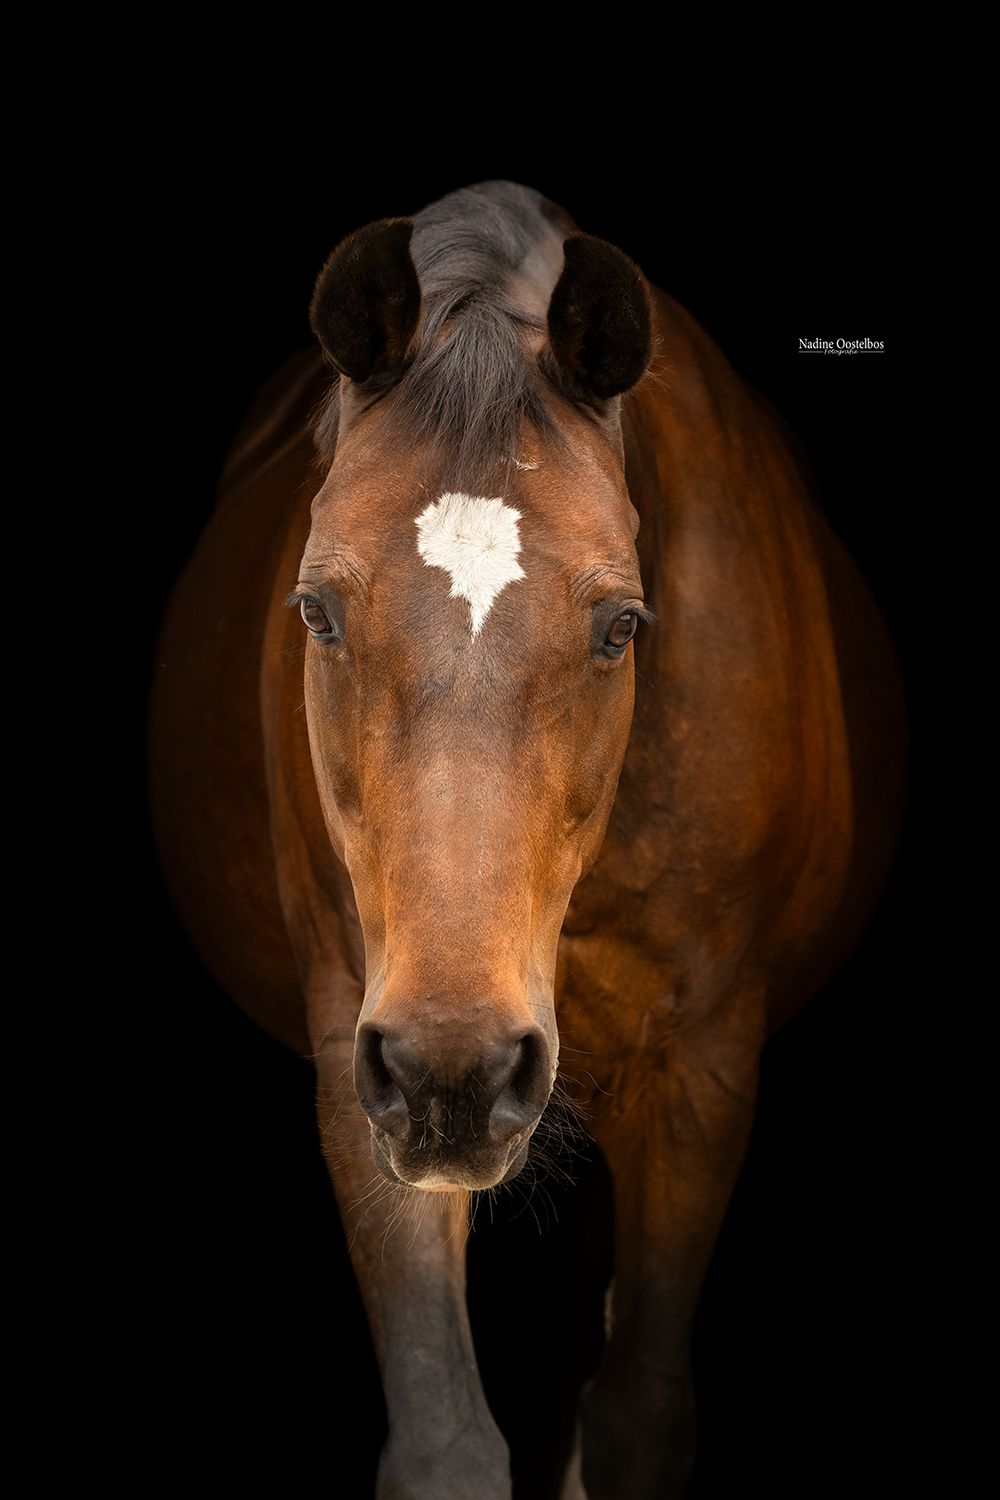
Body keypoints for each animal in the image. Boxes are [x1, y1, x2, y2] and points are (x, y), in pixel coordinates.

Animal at [148, 179, 908, 1499]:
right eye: (316, 610)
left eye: (620, 623)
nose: (454, 1072)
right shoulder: (366, 1061)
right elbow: (446, 1440)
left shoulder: (703, 1063)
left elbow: (637, 1417)